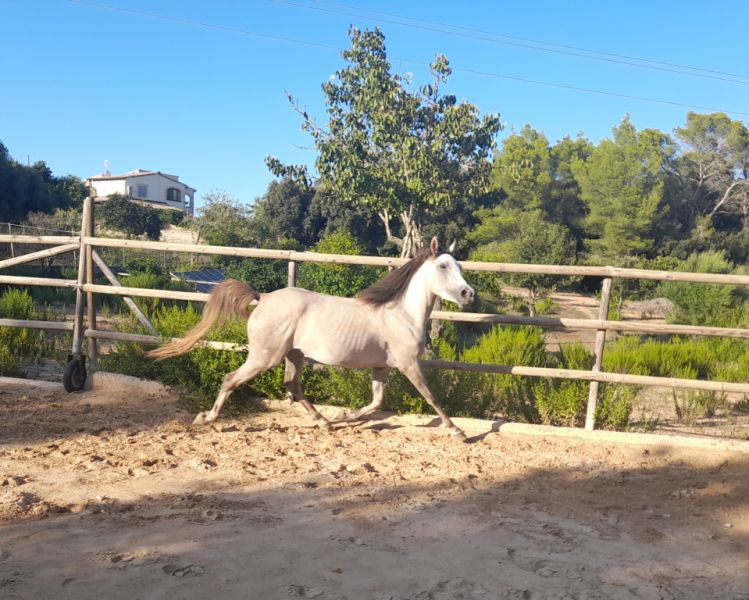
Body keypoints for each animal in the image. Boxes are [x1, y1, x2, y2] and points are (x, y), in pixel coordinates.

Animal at [148, 237, 475, 440]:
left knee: (292, 384)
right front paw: (457, 431)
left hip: (295, 355)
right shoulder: (408, 365)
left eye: (460, 266)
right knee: (231, 379)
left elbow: (376, 401)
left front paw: (344, 415)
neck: (401, 315)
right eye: (443, 266)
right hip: (265, 357)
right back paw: (207, 418)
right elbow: (431, 397)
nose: (468, 293)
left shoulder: (381, 367)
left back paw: (324, 422)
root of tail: (263, 297)